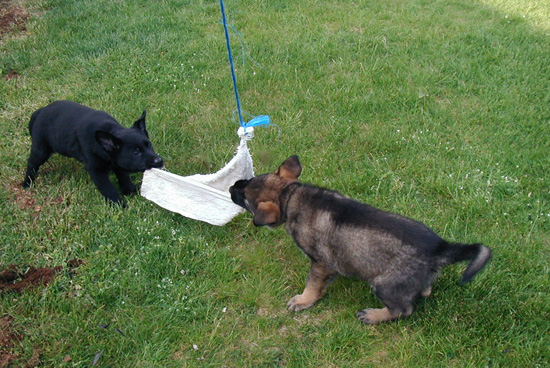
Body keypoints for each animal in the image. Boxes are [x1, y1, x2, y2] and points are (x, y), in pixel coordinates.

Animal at [22, 100, 164, 204]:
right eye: (136, 153)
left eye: (149, 145)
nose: (159, 161)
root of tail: (40, 111)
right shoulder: (96, 170)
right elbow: (107, 187)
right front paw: (119, 204)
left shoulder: (118, 163)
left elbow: (124, 177)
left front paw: (130, 191)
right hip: (41, 149)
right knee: (32, 164)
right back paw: (27, 183)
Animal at [231, 157, 494, 324]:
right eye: (249, 180)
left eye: (244, 197)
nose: (233, 185)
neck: (290, 195)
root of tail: (440, 249)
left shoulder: (321, 263)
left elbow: (312, 285)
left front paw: (304, 300)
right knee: (424, 290)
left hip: (385, 285)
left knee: (403, 309)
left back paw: (374, 316)